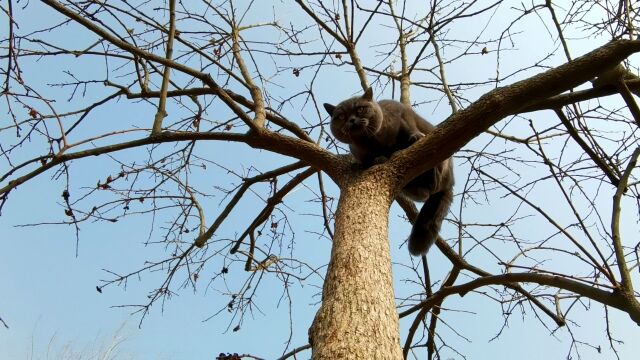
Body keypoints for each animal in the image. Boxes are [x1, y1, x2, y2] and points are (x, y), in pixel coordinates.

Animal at [322, 88, 452, 256]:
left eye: (360, 109)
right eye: (342, 116)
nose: (351, 120)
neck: (374, 141)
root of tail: (450, 183)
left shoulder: (402, 115)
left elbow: (410, 127)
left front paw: (415, 137)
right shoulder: (361, 155)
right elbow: (370, 159)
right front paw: (379, 159)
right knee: (425, 193)